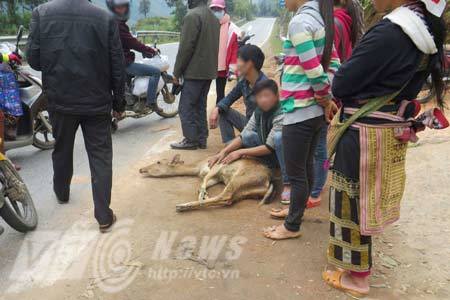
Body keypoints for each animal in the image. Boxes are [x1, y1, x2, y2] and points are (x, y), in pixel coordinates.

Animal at [141, 154, 274, 212]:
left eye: (158, 162)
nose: (141, 169)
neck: (197, 167)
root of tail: (268, 182)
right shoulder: (217, 178)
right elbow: (202, 185)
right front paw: (205, 195)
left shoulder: (216, 166)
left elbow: (203, 183)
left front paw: (203, 196)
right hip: (243, 191)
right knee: (228, 200)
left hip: (238, 180)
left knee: (225, 195)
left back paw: (182, 205)